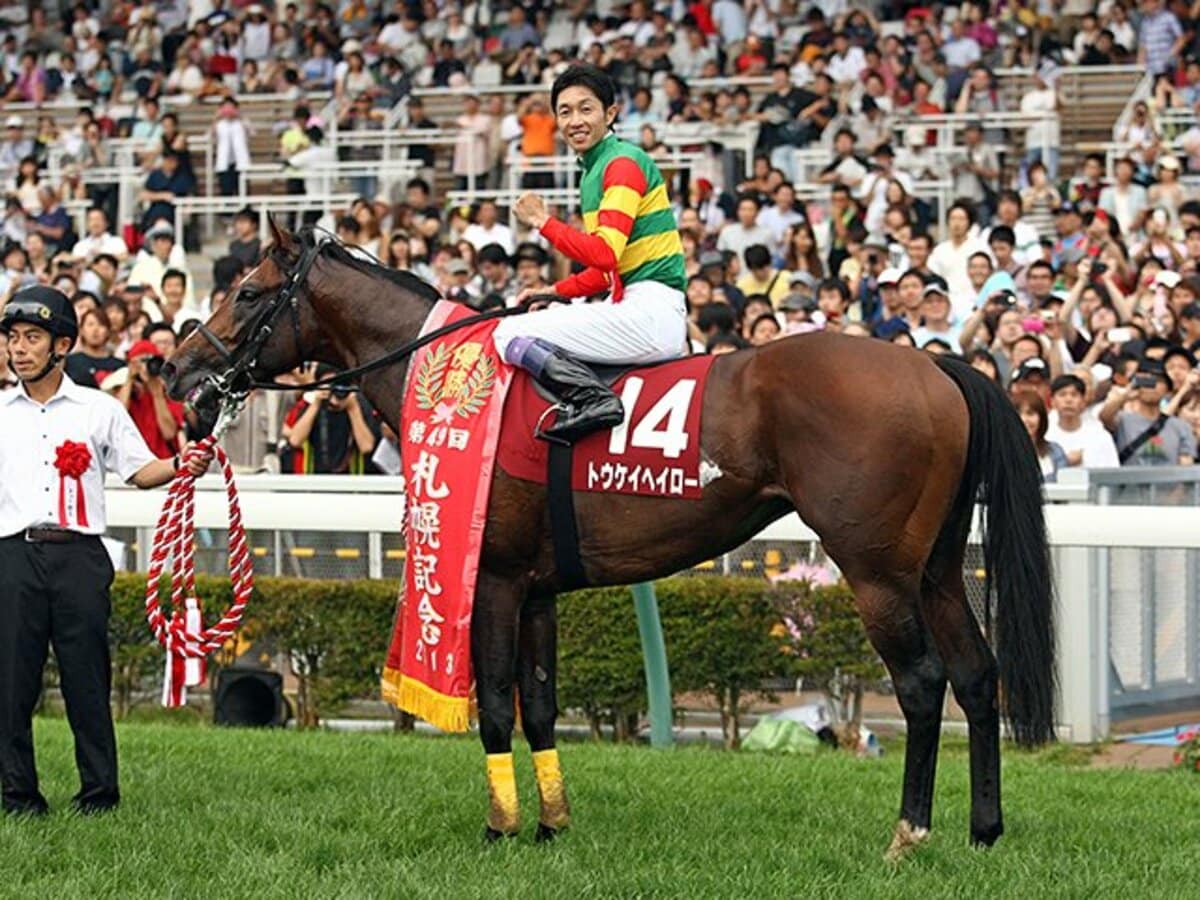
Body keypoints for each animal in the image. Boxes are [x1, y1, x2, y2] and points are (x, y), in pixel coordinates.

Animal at [164, 220, 1054, 857]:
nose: (176, 371)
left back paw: (910, 833)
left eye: (249, 292)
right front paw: (551, 825)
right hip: (936, 569)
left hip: (876, 571)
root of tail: (937, 367)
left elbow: (496, 705)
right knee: (979, 675)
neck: (445, 373)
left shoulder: (492, 576)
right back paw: (985, 831)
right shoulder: (538, 587)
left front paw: (499, 828)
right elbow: (542, 706)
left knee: (924, 684)